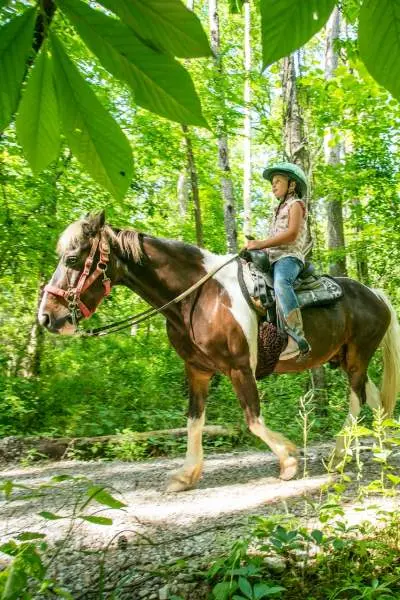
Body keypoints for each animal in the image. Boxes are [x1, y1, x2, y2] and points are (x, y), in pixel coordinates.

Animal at [38, 213, 400, 490]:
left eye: (72, 259)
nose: (47, 317)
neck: (198, 296)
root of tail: (375, 294)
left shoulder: (240, 368)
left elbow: (252, 419)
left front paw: (288, 459)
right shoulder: (197, 370)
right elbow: (194, 421)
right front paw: (187, 475)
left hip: (358, 356)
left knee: (356, 400)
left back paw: (340, 454)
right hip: (345, 358)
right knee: (374, 400)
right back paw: (380, 447)